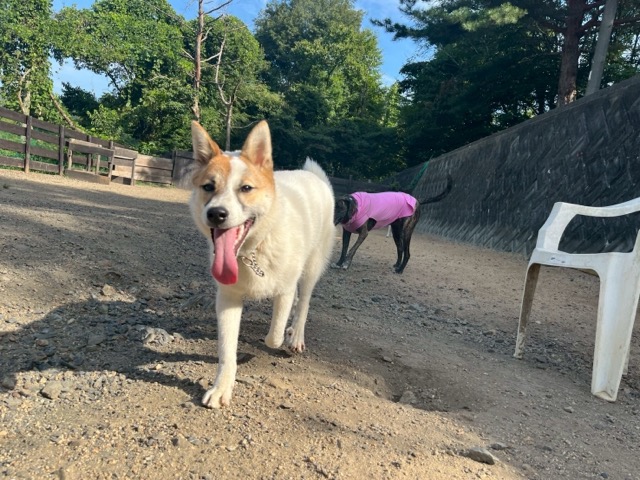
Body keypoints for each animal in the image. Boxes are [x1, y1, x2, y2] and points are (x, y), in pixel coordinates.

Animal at [189, 120, 334, 408]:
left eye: (246, 188)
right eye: (208, 187)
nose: (216, 214)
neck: (252, 250)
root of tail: (312, 175)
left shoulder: (285, 290)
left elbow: (273, 336)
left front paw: (282, 336)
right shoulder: (228, 298)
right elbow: (227, 350)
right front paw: (222, 388)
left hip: (312, 267)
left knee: (304, 301)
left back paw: (296, 335)